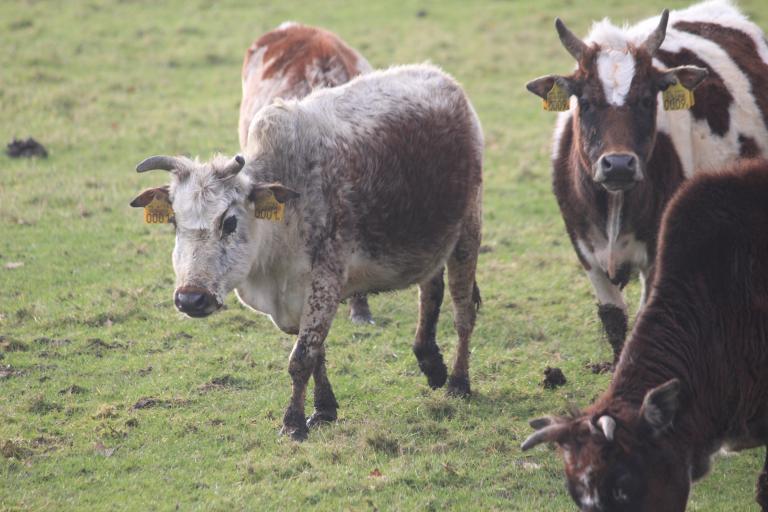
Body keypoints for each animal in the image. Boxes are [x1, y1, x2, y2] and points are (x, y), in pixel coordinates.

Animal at [130, 64, 484, 440]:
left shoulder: (325, 281)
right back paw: (431, 363)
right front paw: (324, 409)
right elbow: (317, 353)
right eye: (174, 222)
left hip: (467, 235)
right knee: (430, 293)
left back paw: (458, 381)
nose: (191, 299)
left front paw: (294, 422)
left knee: (463, 312)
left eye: (229, 221)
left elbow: (302, 357)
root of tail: (441, 78)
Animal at [524, 1, 768, 360]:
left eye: (646, 99)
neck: (614, 205)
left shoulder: (656, 253)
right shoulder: (585, 252)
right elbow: (614, 321)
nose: (618, 165)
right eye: (586, 101)